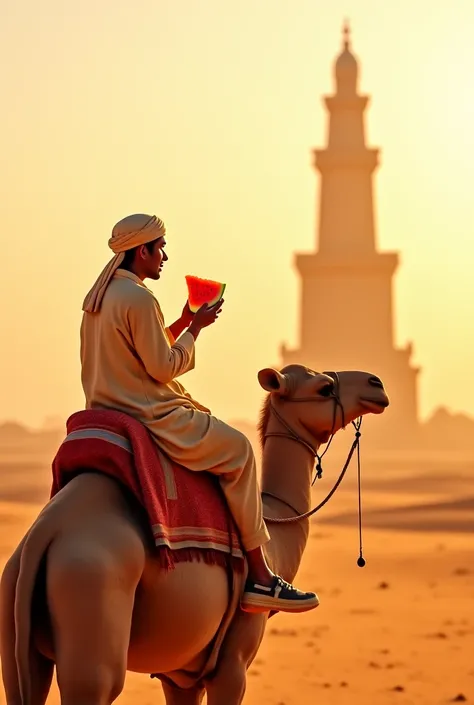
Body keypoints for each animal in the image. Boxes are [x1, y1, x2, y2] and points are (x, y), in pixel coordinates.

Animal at [0, 366, 388, 700]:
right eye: (324, 387)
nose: (376, 384)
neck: (275, 527)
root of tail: (46, 532)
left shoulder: (180, 674)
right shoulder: (233, 662)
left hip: (16, 623)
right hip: (91, 591)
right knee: (97, 682)